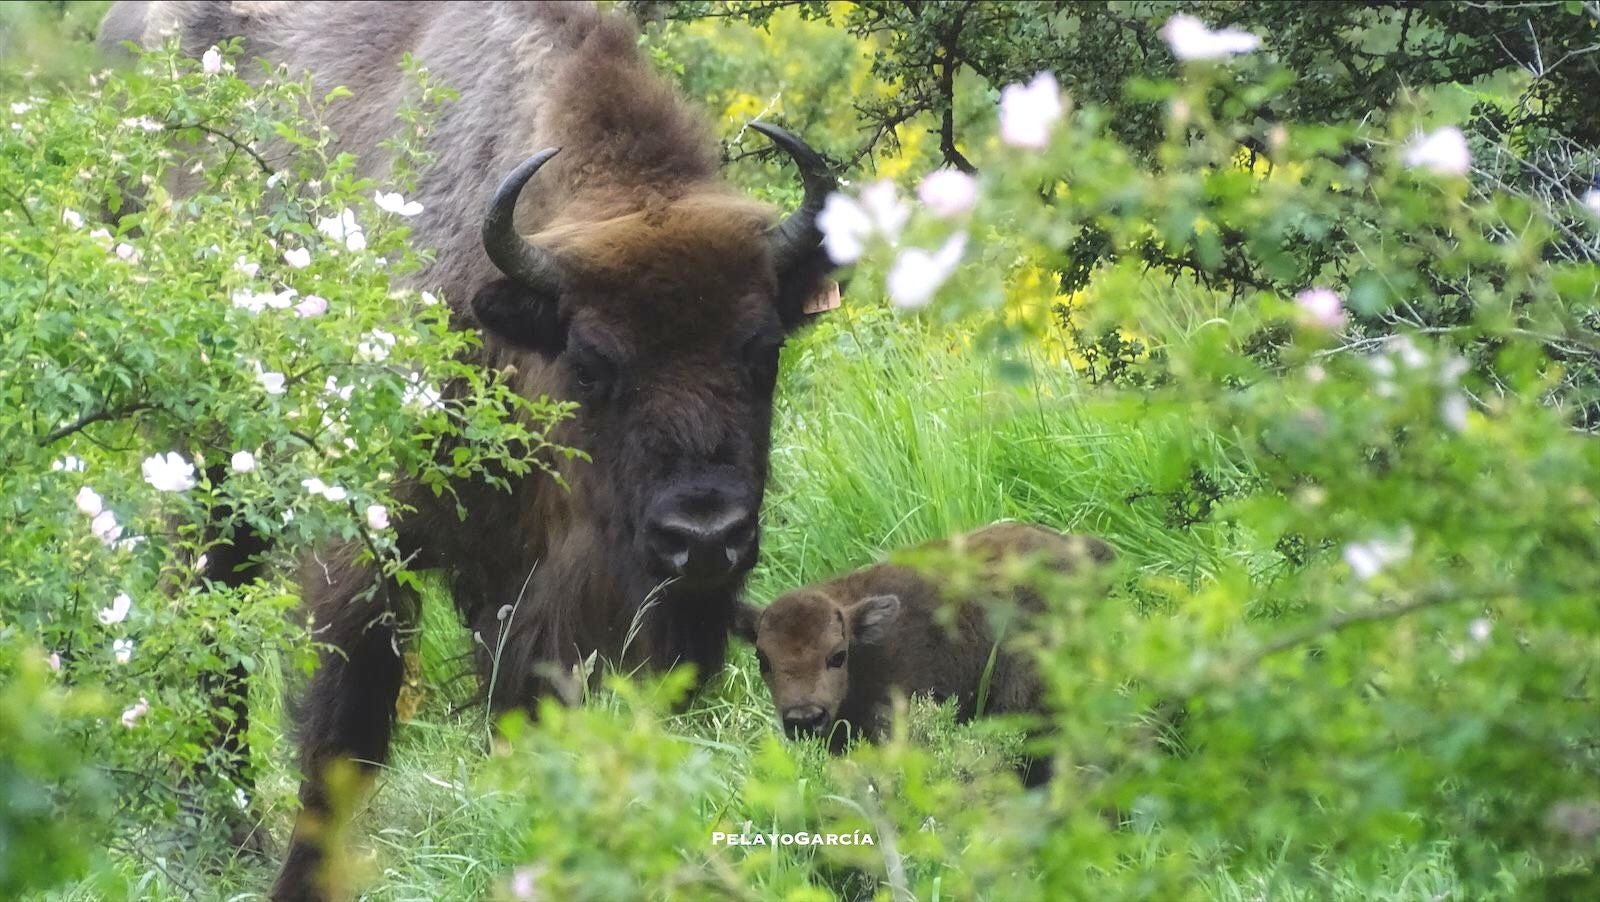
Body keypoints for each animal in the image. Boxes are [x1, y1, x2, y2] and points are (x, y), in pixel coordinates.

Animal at [98, 3, 838, 895]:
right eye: (591, 361)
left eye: (764, 349)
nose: (704, 538)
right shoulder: (365, 541)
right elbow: (343, 730)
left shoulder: (524, 583)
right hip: (204, 457)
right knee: (207, 611)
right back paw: (223, 835)